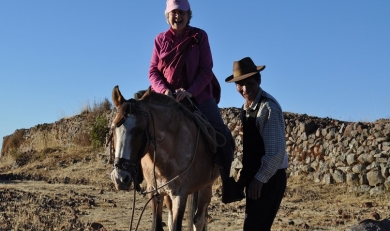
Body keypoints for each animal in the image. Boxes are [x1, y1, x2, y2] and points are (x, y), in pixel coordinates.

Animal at [109, 85, 219, 230]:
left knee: (199, 220)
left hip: (206, 187)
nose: (120, 178)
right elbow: (158, 225)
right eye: (113, 128)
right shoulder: (154, 192)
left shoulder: (180, 195)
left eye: (140, 130)